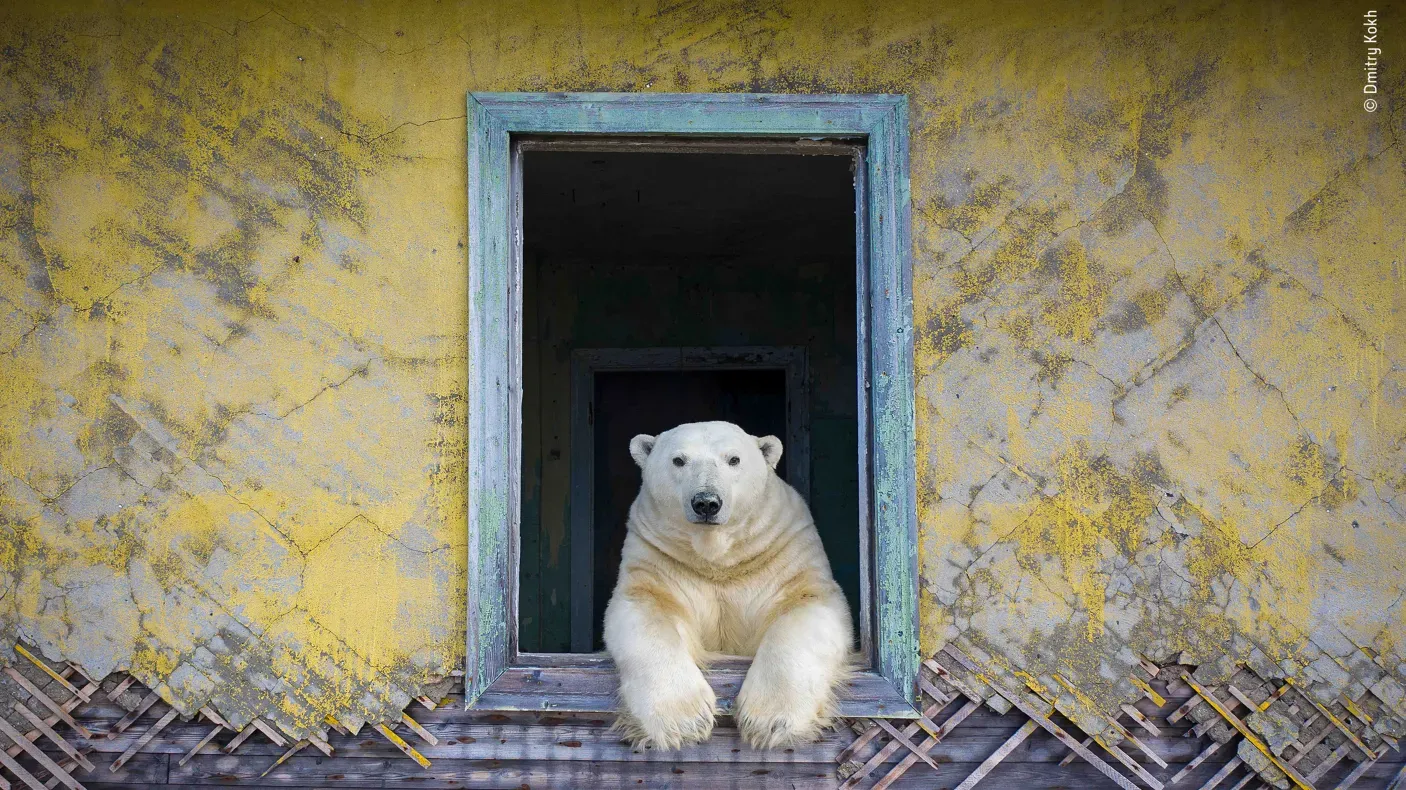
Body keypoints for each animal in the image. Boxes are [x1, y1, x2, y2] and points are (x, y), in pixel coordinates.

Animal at [602, 420, 854, 750]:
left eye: (733, 459)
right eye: (678, 460)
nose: (706, 502)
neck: (718, 560)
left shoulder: (784, 551)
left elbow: (807, 606)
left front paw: (770, 721)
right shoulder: (658, 558)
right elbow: (645, 610)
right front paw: (683, 721)